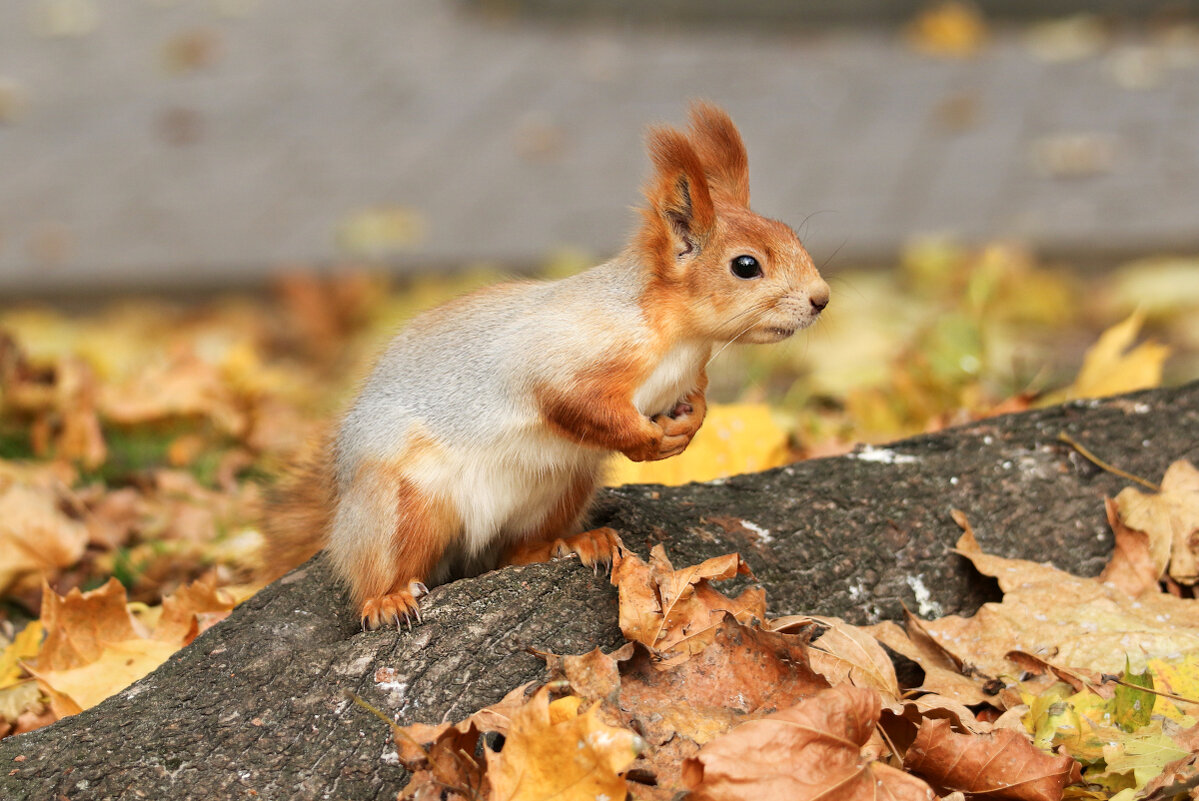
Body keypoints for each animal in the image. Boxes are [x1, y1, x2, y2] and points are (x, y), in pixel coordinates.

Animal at [258, 103, 829, 633]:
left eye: (793, 236)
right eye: (745, 265)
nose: (821, 298)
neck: (681, 342)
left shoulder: (688, 376)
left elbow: (699, 400)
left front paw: (688, 426)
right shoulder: (559, 357)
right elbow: (575, 405)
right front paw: (647, 441)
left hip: (558, 489)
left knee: (511, 552)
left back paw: (571, 543)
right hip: (403, 506)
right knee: (378, 568)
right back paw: (386, 599)